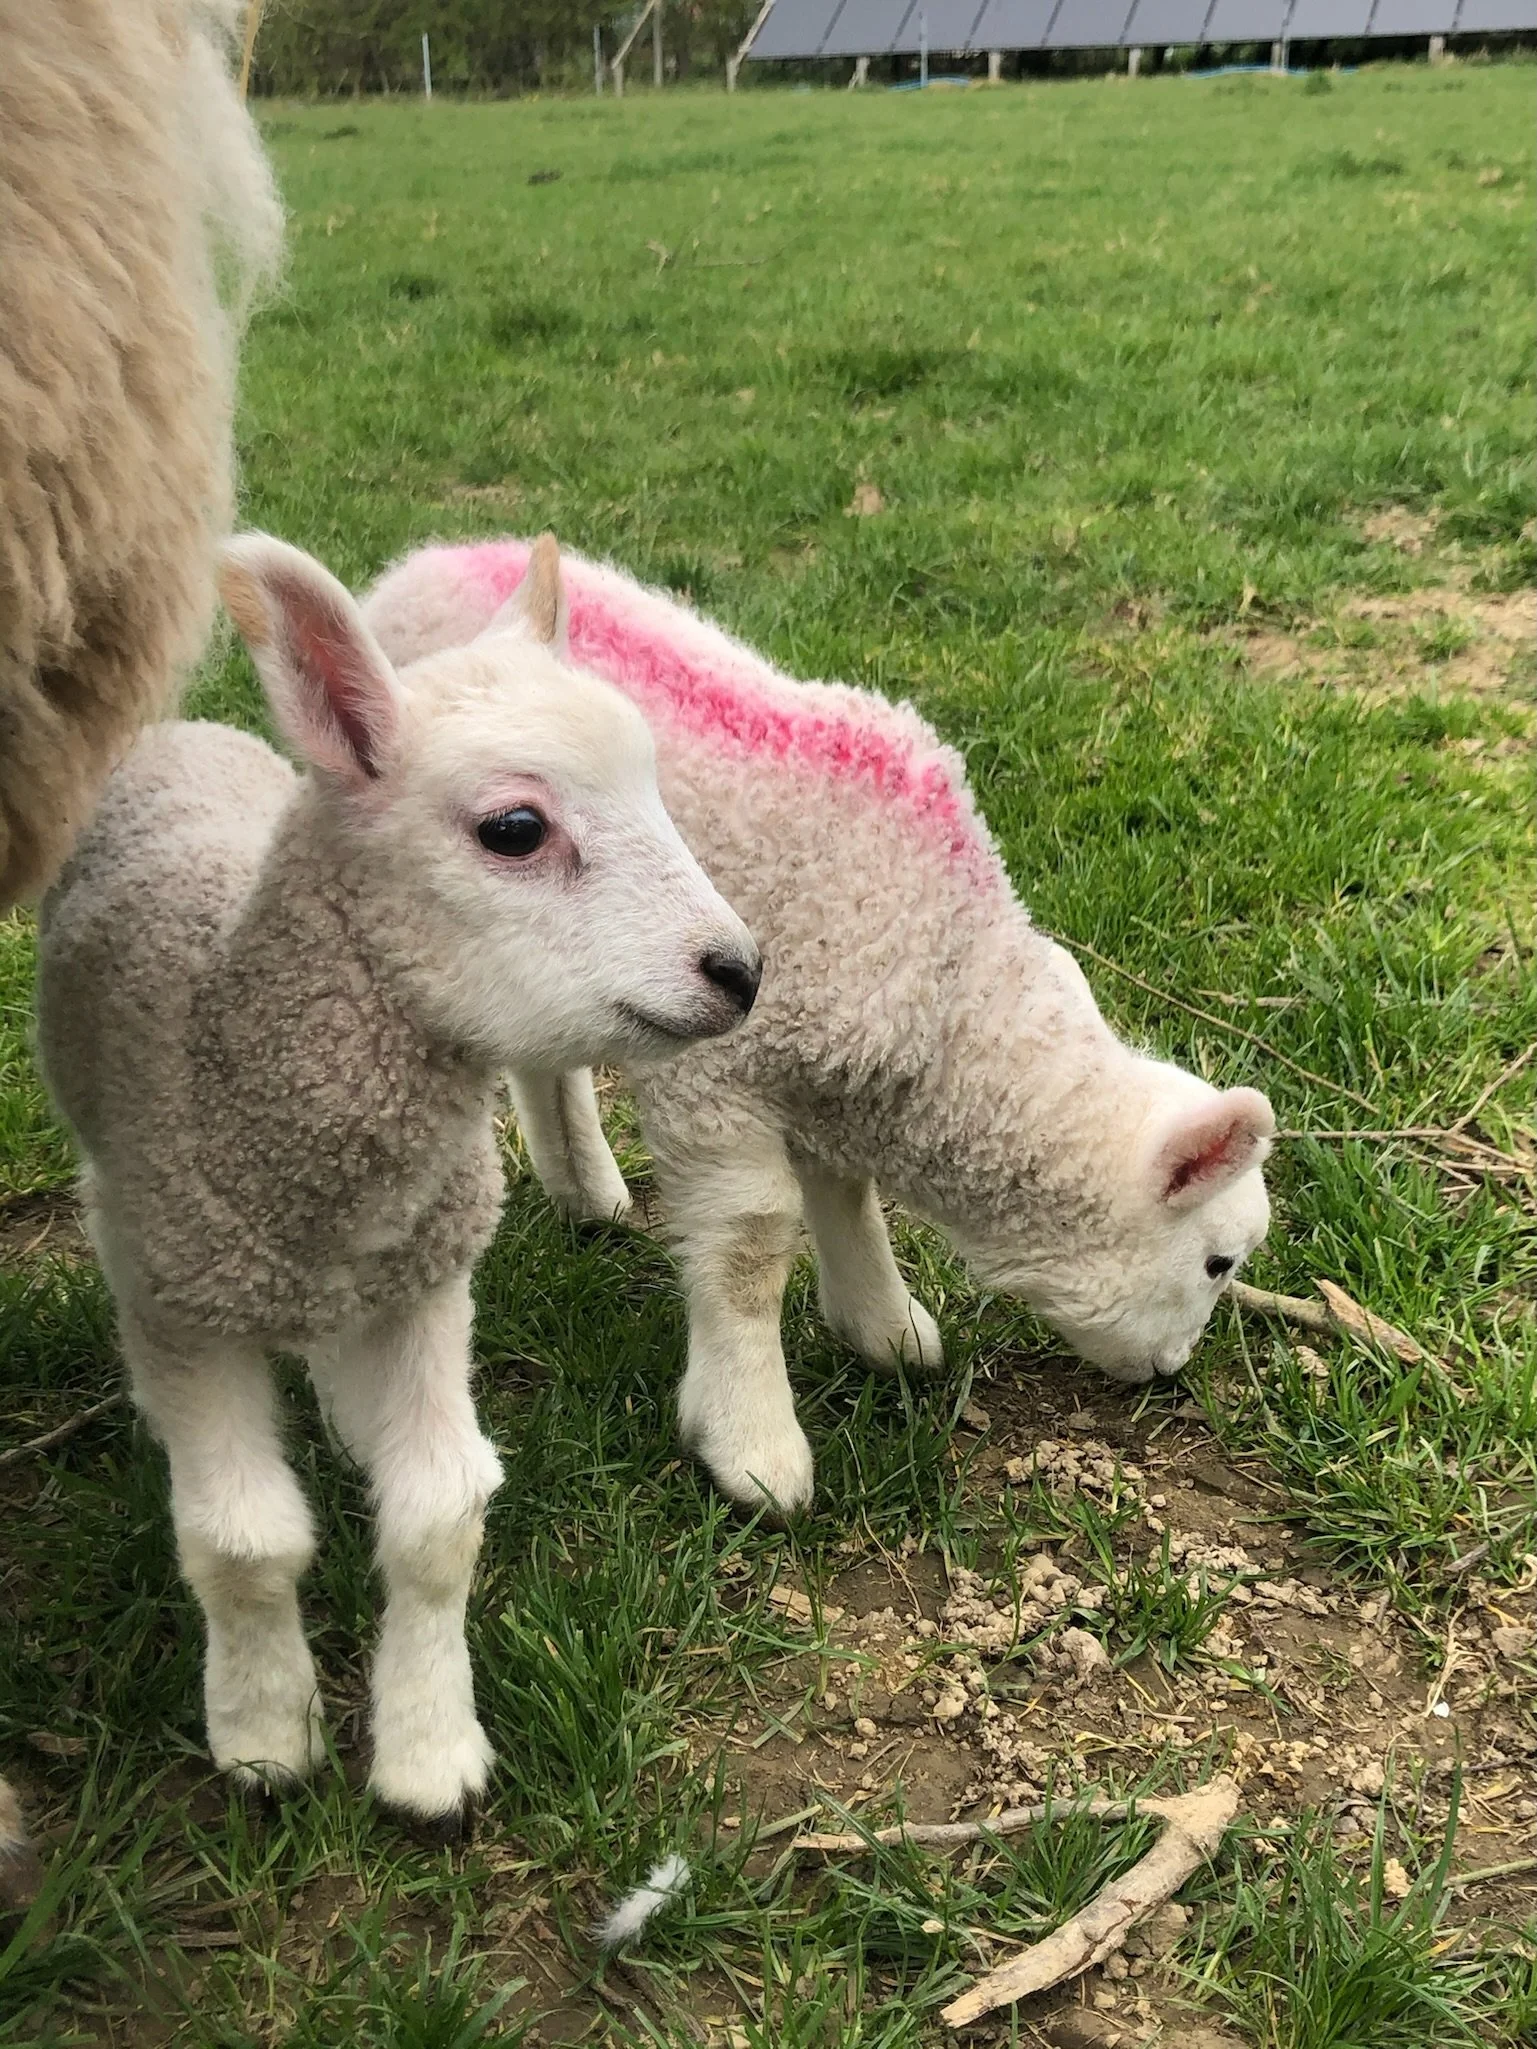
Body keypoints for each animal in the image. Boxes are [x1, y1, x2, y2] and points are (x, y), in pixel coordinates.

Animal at [34, 534, 762, 1832]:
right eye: (515, 828)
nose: (738, 971)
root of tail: (185, 729)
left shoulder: (426, 1274)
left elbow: (436, 1519)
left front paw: (429, 1750)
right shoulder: (182, 1296)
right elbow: (242, 1544)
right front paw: (265, 1733)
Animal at [361, 538, 1276, 1518]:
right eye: (1218, 1263)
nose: (1170, 1371)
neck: (946, 988)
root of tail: (439, 555)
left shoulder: (833, 1061)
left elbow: (845, 1190)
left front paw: (883, 1328)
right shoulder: (714, 1073)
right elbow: (751, 1244)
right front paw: (753, 1444)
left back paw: (586, 1188)